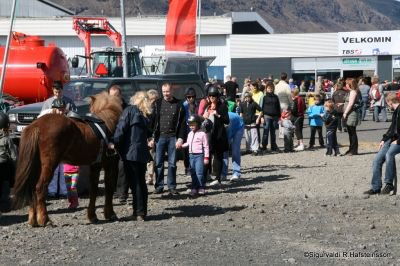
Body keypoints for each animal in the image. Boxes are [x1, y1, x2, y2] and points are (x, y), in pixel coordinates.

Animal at [12, 91, 122, 227]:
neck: (108, 123)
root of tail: (36, 125)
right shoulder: (111, 164)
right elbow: (109, 188)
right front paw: (110, 213)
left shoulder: (95, 166)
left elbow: (94, 190)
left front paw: (92, 216)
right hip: (49, 165)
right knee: (40, 188)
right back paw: (44, 219)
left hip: (36, 166)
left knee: (32, 188)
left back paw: (33, 220)